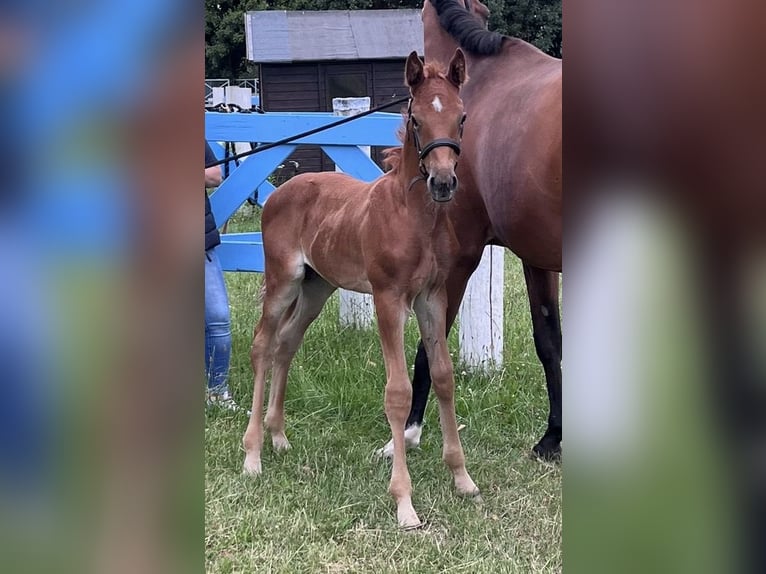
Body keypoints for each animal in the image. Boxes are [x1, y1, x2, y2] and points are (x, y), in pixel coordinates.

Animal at [241, 50, 480, 529]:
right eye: (416, 119)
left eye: (461, 117)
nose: (443, 183)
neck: (413, 216)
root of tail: (280, 191)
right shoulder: (389, 299)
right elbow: (398, 392)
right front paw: (404, 502)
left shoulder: (432, 297)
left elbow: (443, 377)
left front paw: (462, 479)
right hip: (282, 281)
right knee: (262, 344)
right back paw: (253, 454)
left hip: (316, 287)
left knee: (286, 342)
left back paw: (279, 437)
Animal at [379, 0, 563, 461]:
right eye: (417, 118)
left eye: (462, 118)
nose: (442, 182)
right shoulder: (536, 257)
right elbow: (549, 342)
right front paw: (553, 436)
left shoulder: (457, 261)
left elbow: (430, 346)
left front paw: (408, 432)